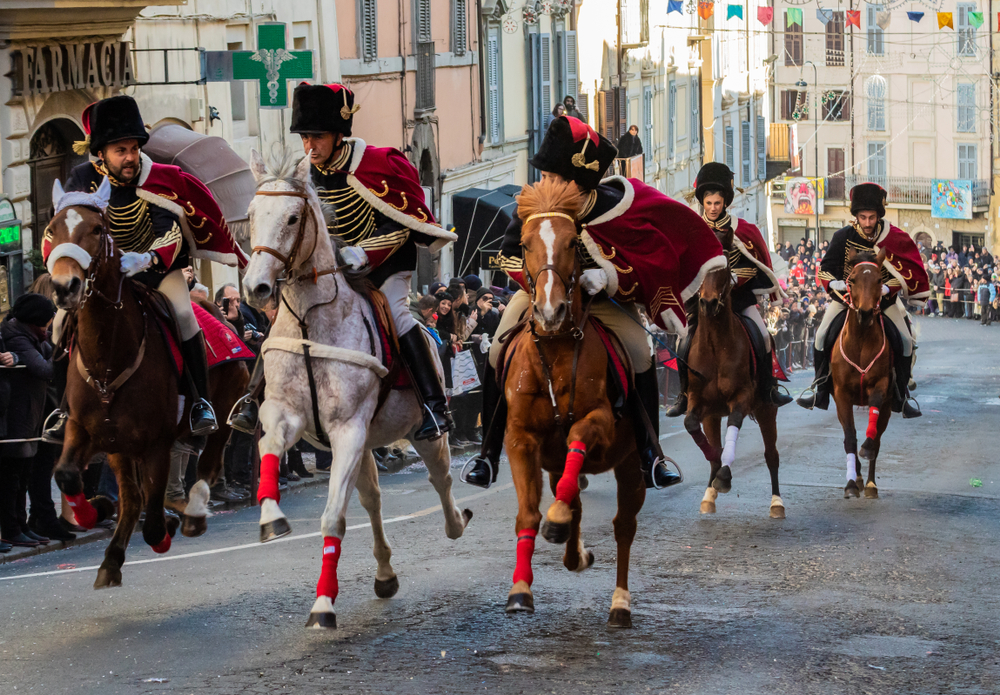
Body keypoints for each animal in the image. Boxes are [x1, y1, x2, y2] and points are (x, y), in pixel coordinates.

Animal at [46, 184, 250, 588]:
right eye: (51, 230)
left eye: (97, 229)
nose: (65, 287)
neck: (109, 359)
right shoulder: (85, 429)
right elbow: (67, 476)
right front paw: (93, 512)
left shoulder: (156, 442)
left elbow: (153, 520)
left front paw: (164, 526)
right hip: (120, 447)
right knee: (132, 498)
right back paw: (111, 558)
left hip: (222, 410)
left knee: (209, 462)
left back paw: (193, 512)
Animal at [245, 152, 472, 632]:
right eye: (252, 215)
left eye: (292, 217)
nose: (256, 288)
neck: (311, 322)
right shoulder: (285, 415)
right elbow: (269, 452)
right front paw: (272, 517)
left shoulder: (347, 431)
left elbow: (333, 518)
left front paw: (323, 605)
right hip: (367, 444)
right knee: (373, 500)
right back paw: (385, 573)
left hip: (423, 436)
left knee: (440, 480)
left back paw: (455, 523)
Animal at [504, 181, 644, 632]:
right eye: (525, 243)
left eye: (572, 242)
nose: (550, 311)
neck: (556, 349)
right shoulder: (521, 439)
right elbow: (528, 515)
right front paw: (520, 590)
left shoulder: (600, 420)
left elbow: (579, 435)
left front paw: (559, 520)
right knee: (574, 503)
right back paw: (571, 546)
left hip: (632, 463)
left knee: (624, 526)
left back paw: (620, 604)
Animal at [684, 254, 784, 516]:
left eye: (724, 268)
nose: (707, 303)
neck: (716, 345)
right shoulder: (697, 400)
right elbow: (690, 424)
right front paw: (717, 466)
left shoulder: (742, 397)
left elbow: (735, 421)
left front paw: (725, 475)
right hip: (711, 416)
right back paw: (709, 495)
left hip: (767, 409)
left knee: (772, 455)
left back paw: (777, 503)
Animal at [828, 250, 892, 500]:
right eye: (852, 280)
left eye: (879, 280)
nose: (864, 314)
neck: (862, 340)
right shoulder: (841, 394)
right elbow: (850, 437)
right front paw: (851, 483)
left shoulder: (881, 385)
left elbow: (871, 432)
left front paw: (867, 447)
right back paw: (857, 477)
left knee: (879, 438)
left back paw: (871, 483)